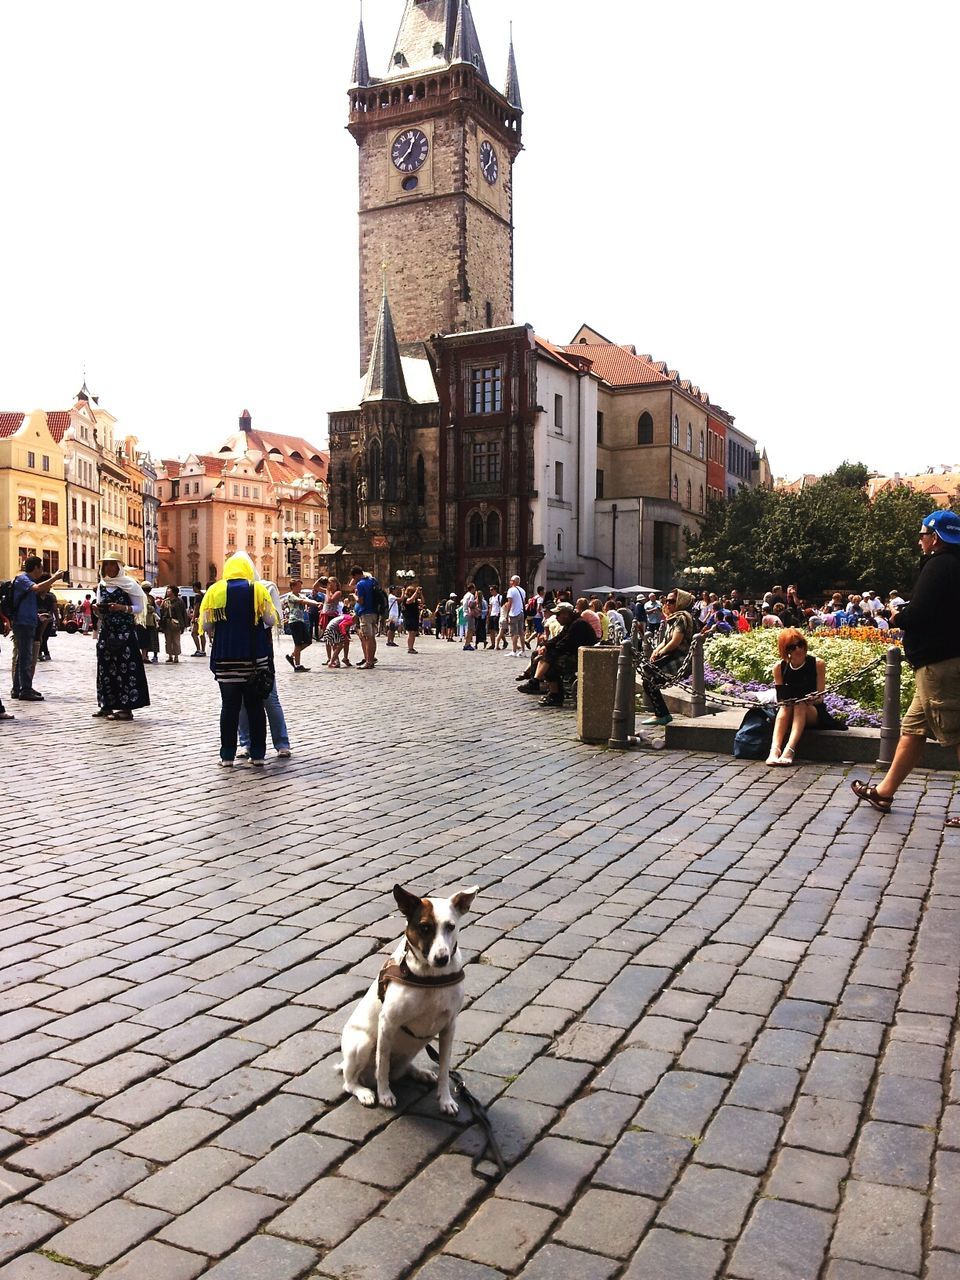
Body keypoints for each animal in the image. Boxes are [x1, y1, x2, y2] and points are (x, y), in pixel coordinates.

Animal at [343, 885, 481, 1116]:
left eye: (451, 926)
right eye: (424, 927)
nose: (442, 959)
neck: (431, 978)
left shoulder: (449, 1027)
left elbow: (444, 1069)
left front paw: (446, 1099)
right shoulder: (387, 1023)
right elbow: (382, 1065)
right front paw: (385, 1095)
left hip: (409, 1052)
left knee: (402, 1069)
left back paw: (421, 1073)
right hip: (362, 1044)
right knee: (351, 1082)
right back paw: (365, 1092)